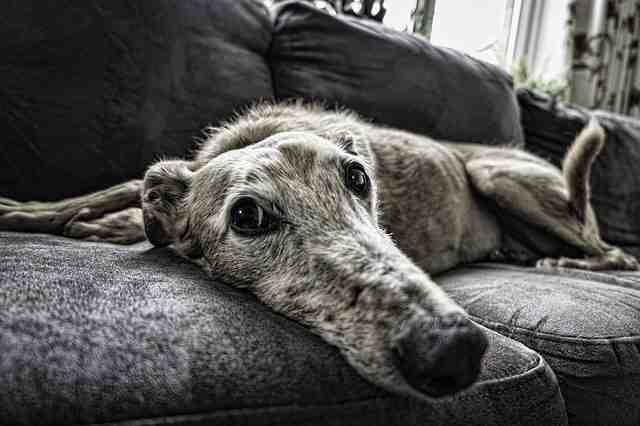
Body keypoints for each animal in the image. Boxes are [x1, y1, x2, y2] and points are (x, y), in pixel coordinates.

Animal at [0, 102, 636, 400]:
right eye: (247, 215)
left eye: (358, 177)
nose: (453, 349)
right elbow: (117, 188)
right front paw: (31, 212)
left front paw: (108, 225)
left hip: (500, 176)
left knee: (615, 254)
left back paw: (566, 260)